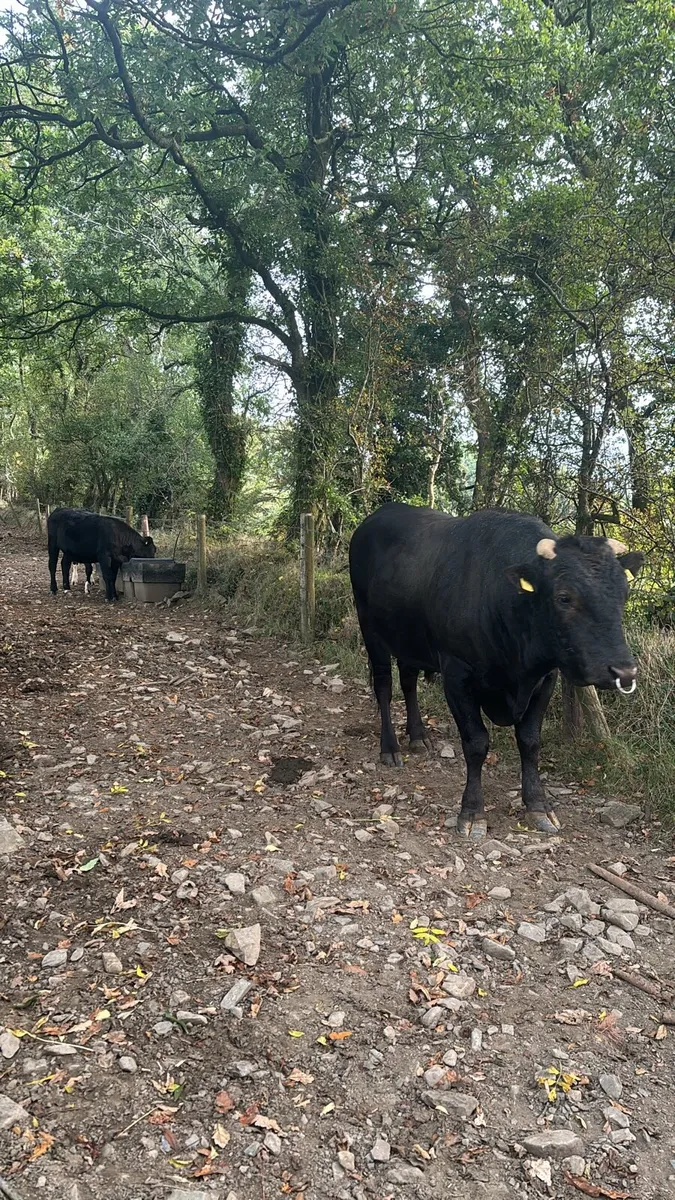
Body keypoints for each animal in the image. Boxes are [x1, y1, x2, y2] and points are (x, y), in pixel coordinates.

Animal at [349, 503, 643, 840]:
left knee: (408, 680)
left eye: (624, 594)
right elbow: (476, 743)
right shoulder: (457, 674)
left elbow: (530, 741)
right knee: (384, 686)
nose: (624, 671)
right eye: (564, 597)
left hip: (408, 637)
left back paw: (418, 736)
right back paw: (390, 748)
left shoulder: (546, 678)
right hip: (370, 628)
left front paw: (538, 806)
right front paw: (472, 812)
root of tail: (379, 514)